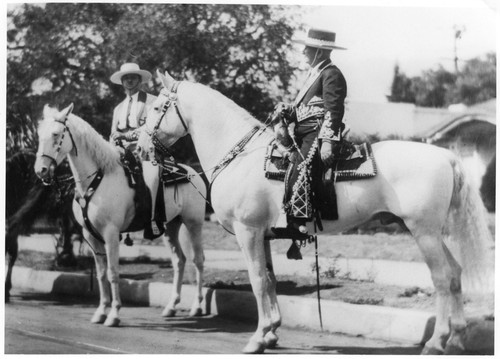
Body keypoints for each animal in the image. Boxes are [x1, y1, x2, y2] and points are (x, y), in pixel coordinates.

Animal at [35, 103, 207, 326]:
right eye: (39, 134)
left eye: (56, 134)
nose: (41, 170)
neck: (98, 178)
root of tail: (191, 172)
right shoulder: (91, 236)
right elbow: (100, 275)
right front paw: (101, 311)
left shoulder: (110, 234)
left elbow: (113, 273)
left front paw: (114, 314)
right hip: (171, 226)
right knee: (179, 261)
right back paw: (171, 306)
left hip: (193, 224)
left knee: (198, 260)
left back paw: (197, 306)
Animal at [138, 71, 496, 356]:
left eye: (156, 108)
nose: (140, 146)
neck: (241, 156)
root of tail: (446, 156)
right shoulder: (263, 235)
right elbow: (269, 279)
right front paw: (272, 332)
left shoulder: (247, 232)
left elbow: (257, 280)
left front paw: (257, 338)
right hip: (432, 233)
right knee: (456, 273)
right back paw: (457, 338)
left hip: (424, 232)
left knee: (442, 277)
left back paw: (436, 342)